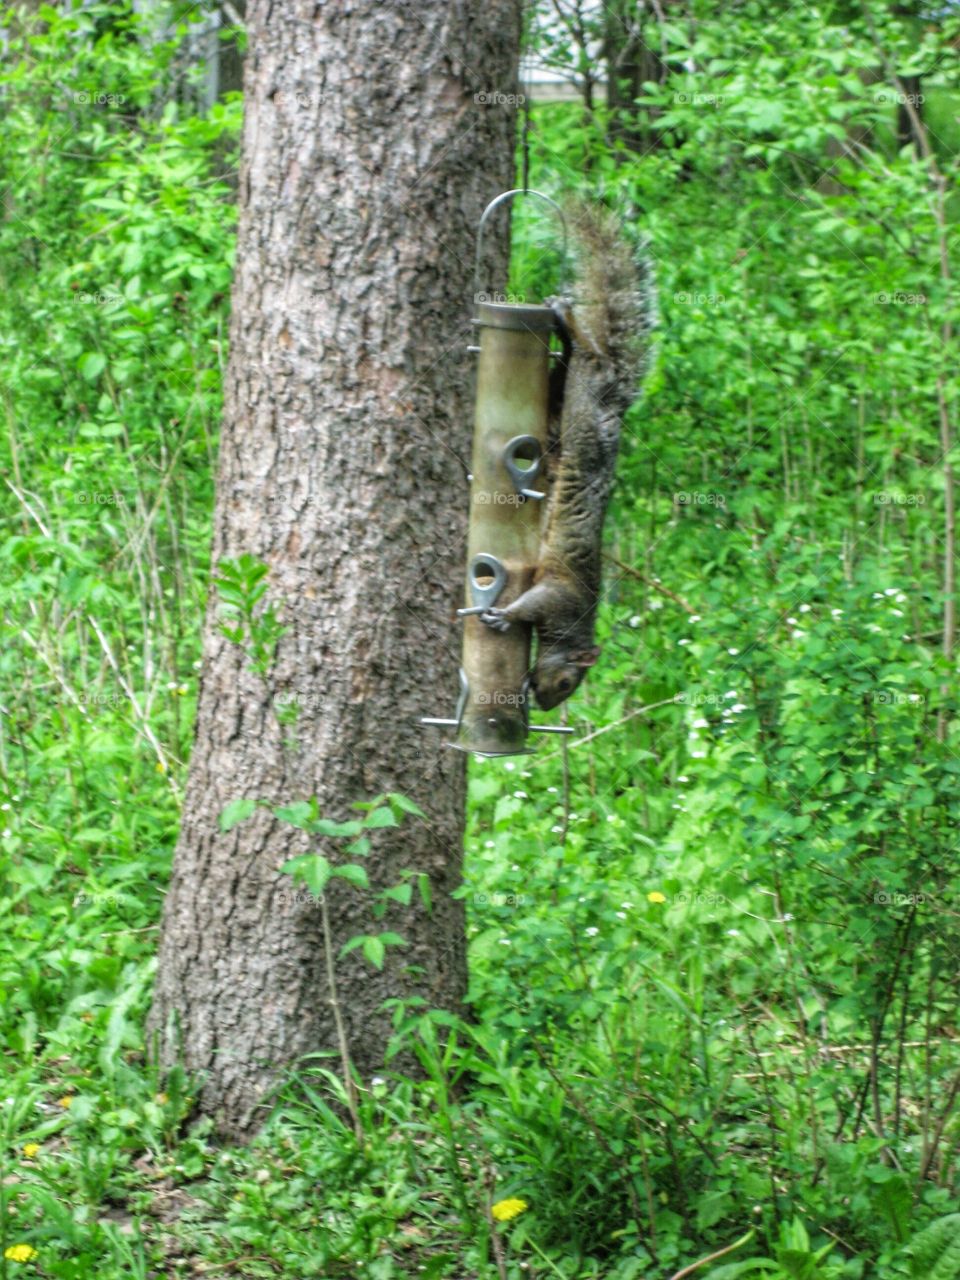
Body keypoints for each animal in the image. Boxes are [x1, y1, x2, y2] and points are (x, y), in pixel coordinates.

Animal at [481, 204, 655, 716]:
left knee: (570, 362)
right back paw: (565, 318)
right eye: (566, 683)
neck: (574, 625)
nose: (542, 706)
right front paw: (504, 615)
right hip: (584, 395)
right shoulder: (557, 597)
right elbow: (528, 606)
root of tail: (613, 398)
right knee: (587, 354)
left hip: (563, 404)